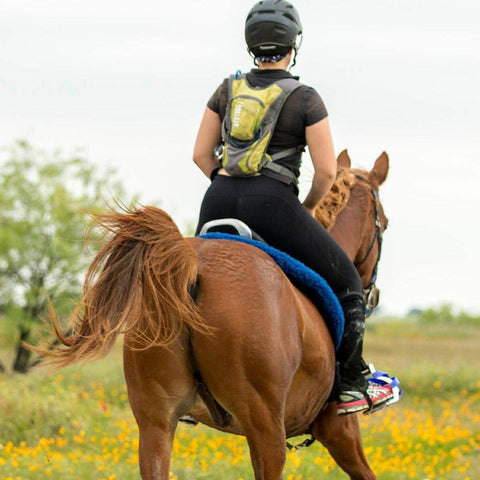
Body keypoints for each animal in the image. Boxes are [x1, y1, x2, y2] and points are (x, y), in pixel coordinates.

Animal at [43, 151, 390, 480]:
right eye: (384, 223)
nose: (374, 295)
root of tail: (193, 264)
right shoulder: (340, 430)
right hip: (266, 429)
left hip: (156, 423)